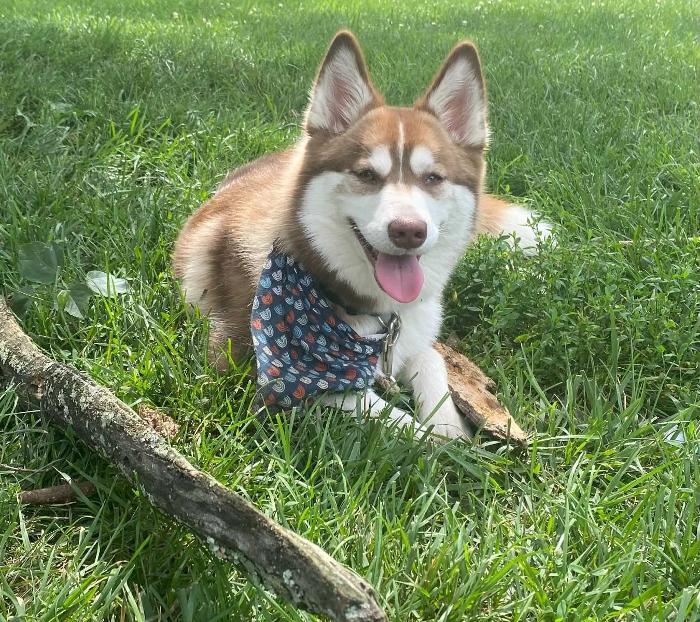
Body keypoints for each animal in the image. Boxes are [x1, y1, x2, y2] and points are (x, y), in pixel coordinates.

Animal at [172, 31, 548, 442]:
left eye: (433, 178)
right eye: (367, 175)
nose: (408, 231)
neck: (375, 316)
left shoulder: (415, 328)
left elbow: (432, 358)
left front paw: (451, 426)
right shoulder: (258, 370)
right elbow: (392, 417)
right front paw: (448, 444)